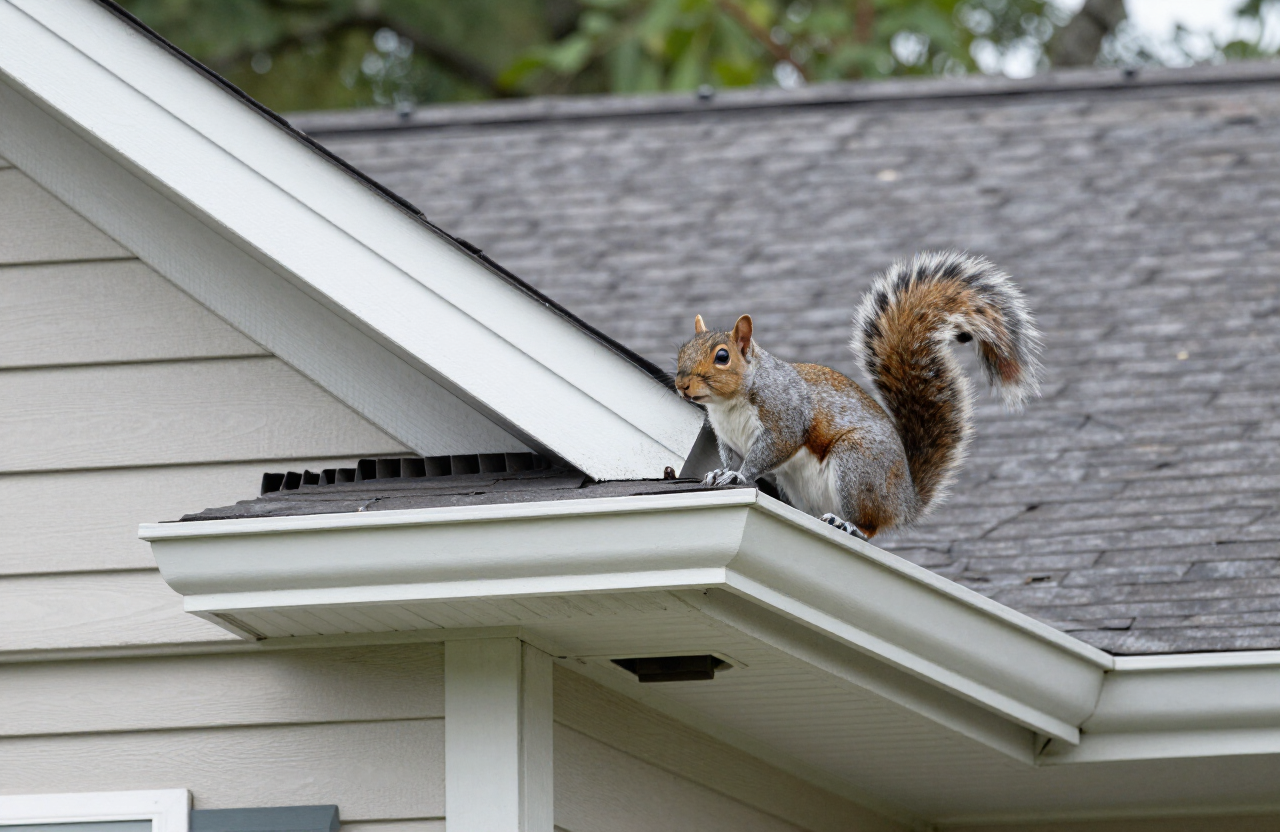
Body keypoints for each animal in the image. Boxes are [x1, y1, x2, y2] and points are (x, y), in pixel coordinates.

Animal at [674, 251, 1041, 541]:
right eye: (682, 349)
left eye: (723, 357)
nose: (682, 385)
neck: (727, 405)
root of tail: (905, 500)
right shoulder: (727, 437)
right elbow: (728, 456)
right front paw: (719, 473)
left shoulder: (784, 416)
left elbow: (773, 448)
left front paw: (739, 475)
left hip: (857, 467)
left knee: (871, 525)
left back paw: (849, 525)